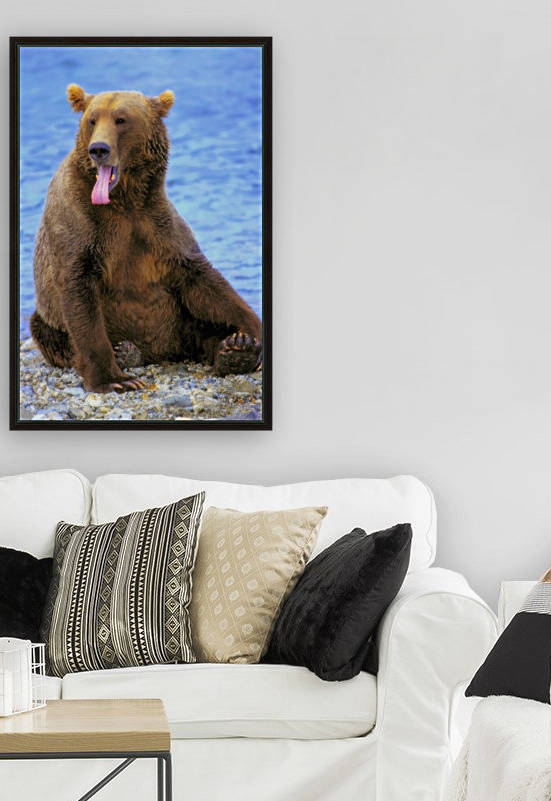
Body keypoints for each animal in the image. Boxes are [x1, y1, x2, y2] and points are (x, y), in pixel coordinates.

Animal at [29, 84, 262, 393]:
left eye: (121, 119)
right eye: (92, 119)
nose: (98, 149)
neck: (122, 200)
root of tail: (160, 351)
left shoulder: (156, 226)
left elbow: (204, 279)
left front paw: (252, 333)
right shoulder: (79, 224)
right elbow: (79, 293)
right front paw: (116, 379)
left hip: (180, 321)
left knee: (204, 328)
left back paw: (237, 348)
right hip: (49, 318)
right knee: (48, 332)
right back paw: (124, 351)